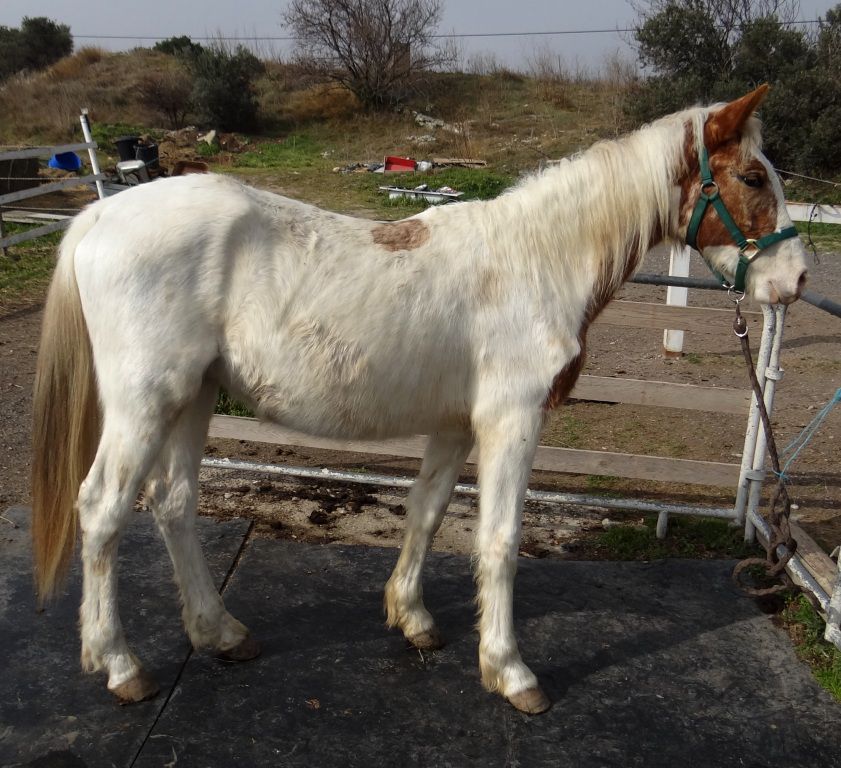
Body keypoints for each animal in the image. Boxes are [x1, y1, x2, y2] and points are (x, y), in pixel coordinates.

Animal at [31, 85, 808, 714]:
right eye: (750, 175)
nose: (795, 281)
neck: (535, 261)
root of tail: (97, 219)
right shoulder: (511, 420)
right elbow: (499, 539)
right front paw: (510, 671)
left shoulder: (456, 425)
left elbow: (427, 513)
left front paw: (413, 619)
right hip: (144, 402)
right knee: (102, 509)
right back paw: (121, 665)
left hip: (192, 398)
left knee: (174, 504)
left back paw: (219, 632)